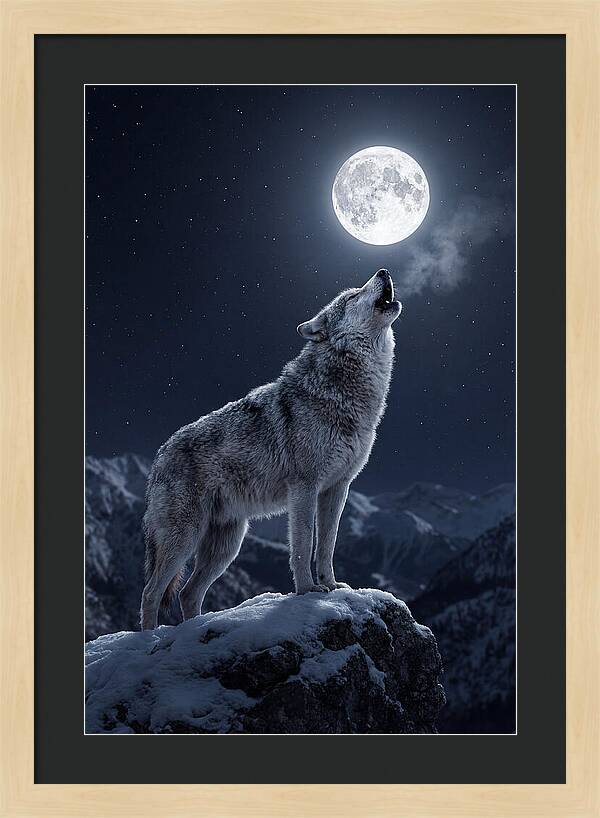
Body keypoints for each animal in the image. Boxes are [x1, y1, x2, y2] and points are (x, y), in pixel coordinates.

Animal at [140, 268, 401, 629]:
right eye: (351, 296)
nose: (383, 271)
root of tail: (158, 456)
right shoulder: (304, 487)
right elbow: (304, 544)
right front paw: (307, 591)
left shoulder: (337, 488)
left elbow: (327, 544)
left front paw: (332, 585)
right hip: (184, 539)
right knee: (151, 592)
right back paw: (149, 638)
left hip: (227, 545)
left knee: (187, 593)